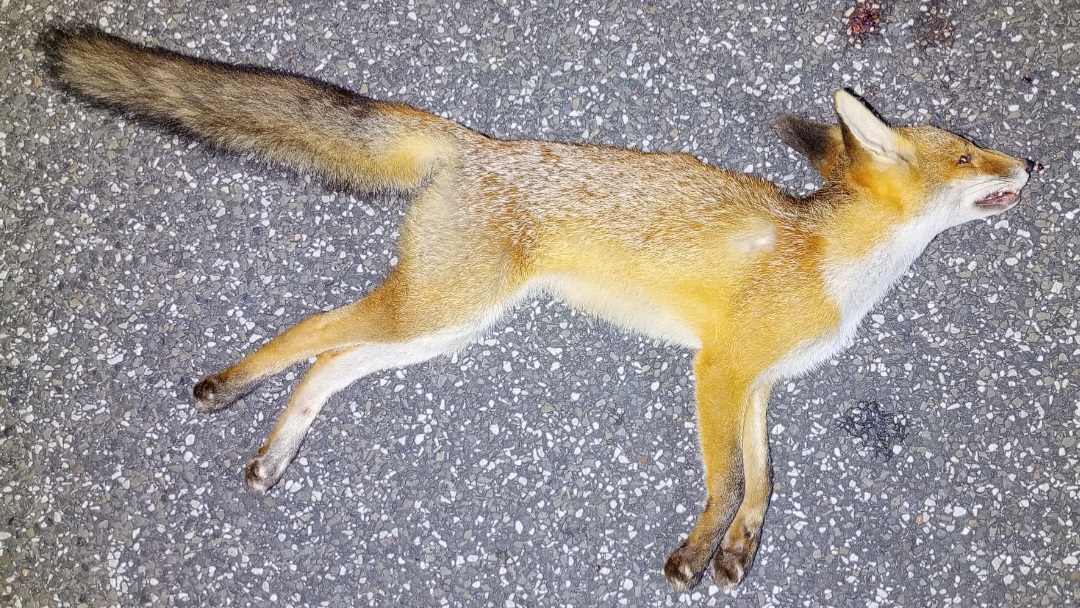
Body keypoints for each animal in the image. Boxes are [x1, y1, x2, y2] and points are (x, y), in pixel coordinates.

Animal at [42, 26, 1033, 591]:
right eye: (966, 157)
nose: (1029, 165)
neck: (839, 268)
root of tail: (479, 144)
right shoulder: (719, 369)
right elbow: (724, 482)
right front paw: (692, 556)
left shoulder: (758, 385)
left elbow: (762, 480)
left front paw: (739, 554)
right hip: (437, 309)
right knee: (315, 332)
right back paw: (223, 388)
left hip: (448, 325)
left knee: (331, 361)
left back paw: (274, 454)